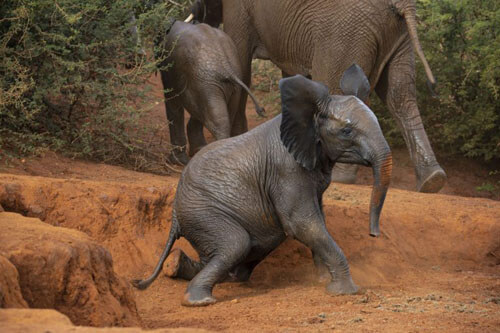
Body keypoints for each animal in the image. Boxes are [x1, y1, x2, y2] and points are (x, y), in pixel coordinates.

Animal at [134, 65, 394, 306]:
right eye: (347, 131)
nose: (374, 234)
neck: (305, 116)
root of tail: (175, 215)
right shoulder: (286, 170)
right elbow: (302, 223)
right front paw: (344, 291)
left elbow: (317, 220)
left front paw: (320, 281)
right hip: (203, 214)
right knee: (236, 244)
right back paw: (198, 300)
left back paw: (175, 265)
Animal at [159, 20, 266, 164]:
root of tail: (226, 66)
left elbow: (173, 102)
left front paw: (176, 161)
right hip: (225, 82)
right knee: (219, 114)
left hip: (206, 81)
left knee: (213, 118)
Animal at [189, 0, 448, 192]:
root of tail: (403, 5)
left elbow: (240, 57)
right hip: (398, 36)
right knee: (400, 95)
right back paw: (432, 180)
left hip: (347, 33)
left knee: (341, 88)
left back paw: (342, 177)